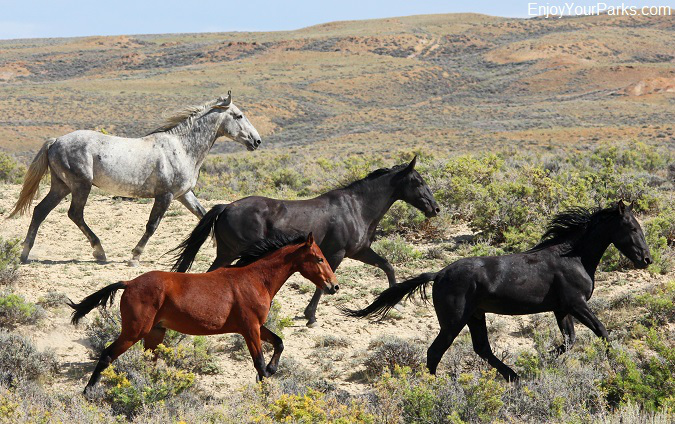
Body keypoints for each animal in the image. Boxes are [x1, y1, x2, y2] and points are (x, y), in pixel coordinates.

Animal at [8, 91, 262, 266]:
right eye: (239, 115)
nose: (257, 141)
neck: (182, 147)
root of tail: (56, 141)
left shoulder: (184, 194)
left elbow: (203, 215)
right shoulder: (166, 196)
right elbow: (152, 225)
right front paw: (134, 257)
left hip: (61, 186)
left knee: (40, 211)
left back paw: (25, 254)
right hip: (80, 185)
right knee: (74, 214)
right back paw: (99, 252)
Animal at [68, 232, 338, 390]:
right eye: (319, 259)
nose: (334, 286)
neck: (255, 279)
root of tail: (129, 283)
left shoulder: (256, 326)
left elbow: (279, 343)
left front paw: (272, 371)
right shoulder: (250, 329)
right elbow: (259, 363)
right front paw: (266, 390)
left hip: (155, 333)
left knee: (147, 363)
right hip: (135, 331)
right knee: (106, 355)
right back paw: (89, 391)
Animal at [172, 157, 440, 326]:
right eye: (418, 182)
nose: (435, 208)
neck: (357, 208)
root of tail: (227, 206)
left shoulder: (360, 251)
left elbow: (387, 266)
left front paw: (396, 302)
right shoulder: (336, 254)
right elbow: (324, 284)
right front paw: (311, 316)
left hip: (228, 253)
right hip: (233, 253)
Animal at [346, 202, 652, 380]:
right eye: (632, 227)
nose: (646, 259)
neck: (573, 257)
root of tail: (439, 274)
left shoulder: (561, 309)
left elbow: (569, 341)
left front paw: (541, 361)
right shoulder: (576, 304)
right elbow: (601, 331)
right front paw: (619, 365)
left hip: (475, 315)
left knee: (482, 348)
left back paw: (514, 376)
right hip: (454, 321)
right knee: (435, 352)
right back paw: (434, 388)